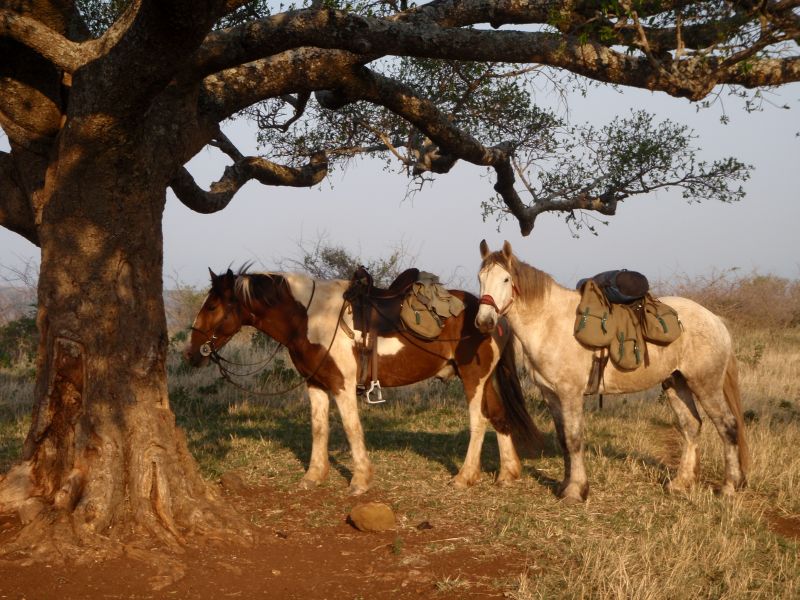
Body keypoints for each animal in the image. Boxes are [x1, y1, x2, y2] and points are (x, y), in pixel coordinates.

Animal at [184, 270, 540, 494]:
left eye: (213, 305)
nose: (192, 352)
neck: (310, 318)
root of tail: (491, 316)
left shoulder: (342, 386)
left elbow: (351, 428)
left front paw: (360, 480)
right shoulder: (316, 385)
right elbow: (319, 429)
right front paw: (313, 477)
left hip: (473, 379)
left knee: (479, 421)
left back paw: (465, 478)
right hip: (487, 379)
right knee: (499, 417)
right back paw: (507, 475)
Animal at [476, 239, 752, 502]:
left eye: (505, 279)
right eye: (480, 278)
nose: (484, 321)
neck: (549, 323)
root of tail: (715, 320)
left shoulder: (570, 393)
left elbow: (574, 439)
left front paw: (576, 491)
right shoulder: (551, 394)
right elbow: (564, 440)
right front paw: (565, 486)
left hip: (706, 385)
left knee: (727, 426)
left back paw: (729, 487)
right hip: (677, 383)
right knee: (691, 426)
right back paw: (680, 483)